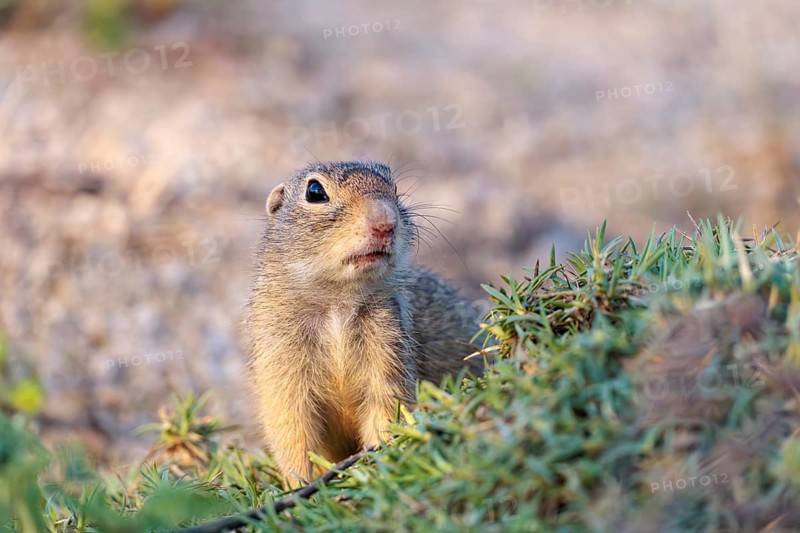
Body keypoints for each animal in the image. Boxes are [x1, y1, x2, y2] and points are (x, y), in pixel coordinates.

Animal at [246, 161, 483, 484]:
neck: (338, 302)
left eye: (394, 186)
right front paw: (300, 484)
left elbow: (386, 408)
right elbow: (291, 429)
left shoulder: (389, 350)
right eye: (315, 191)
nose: (385, 223)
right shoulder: (282, 364)